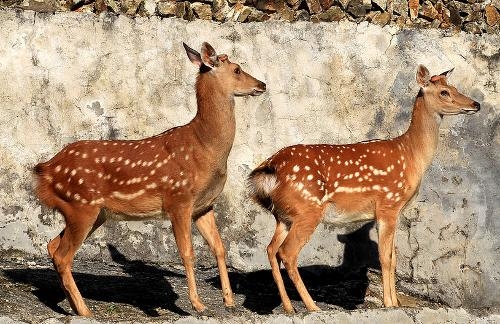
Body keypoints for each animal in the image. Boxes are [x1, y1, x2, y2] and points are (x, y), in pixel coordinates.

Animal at [34, 41, 266, 316]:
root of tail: (46, 170)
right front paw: (197, 304)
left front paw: (228, 301)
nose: (262, 84)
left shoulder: (204, 205)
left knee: (52, 245)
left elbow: (220, 248)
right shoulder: (178, 198)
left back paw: (74, 306)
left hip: (92, 212)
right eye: (237, 69)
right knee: (63, 255)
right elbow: (187, 252)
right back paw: (86, 311)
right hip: (81, 204)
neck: (205, 148)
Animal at [249, 64, 480, 312]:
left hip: (283, 215)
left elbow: (394, 256)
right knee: (287, 252)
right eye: (444, 92)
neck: (411, 155)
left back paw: (289, 307)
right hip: (307, 209)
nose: (475, 104)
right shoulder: (389, 203)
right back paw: (312, 307)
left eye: (454, 87)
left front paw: (396, 303)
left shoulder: (393, 212)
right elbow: (385, 257)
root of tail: (270, 168)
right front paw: (389, 304)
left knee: (271, 249)